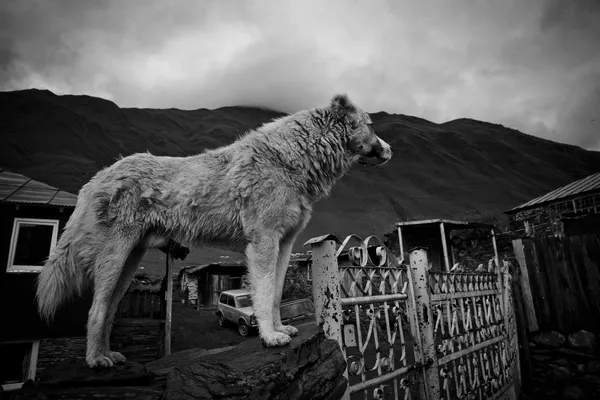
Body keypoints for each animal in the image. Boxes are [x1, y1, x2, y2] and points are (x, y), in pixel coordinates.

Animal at [35, 92, 392, 368]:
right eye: (371, 125)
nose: (390, 150)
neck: (293, 158)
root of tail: (98, 178)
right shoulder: (263, 242)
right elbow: (263, 293)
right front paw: (268, 336)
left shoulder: (285, 244)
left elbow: (277, 293)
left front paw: (281, 329)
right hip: (114, 256)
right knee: (96, 309)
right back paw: (96, 360)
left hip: (129, 262)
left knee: (109, 309)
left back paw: (108, 354)